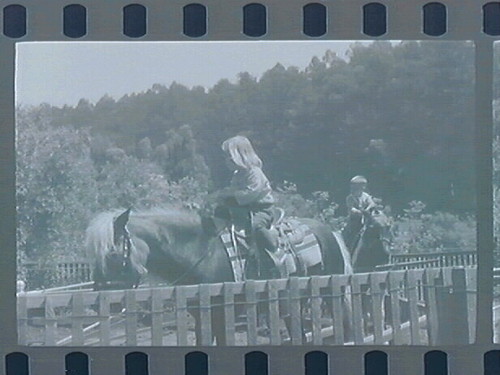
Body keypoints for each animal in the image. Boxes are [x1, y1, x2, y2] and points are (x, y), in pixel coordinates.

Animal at [86, 207, 356, 346]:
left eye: (112, 254)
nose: (100, 299)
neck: (202, 252)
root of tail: (328, 231)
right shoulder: (201, 315)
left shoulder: (221, 313)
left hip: (329, 294)